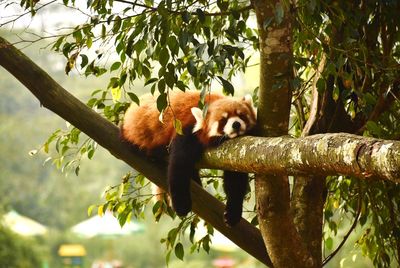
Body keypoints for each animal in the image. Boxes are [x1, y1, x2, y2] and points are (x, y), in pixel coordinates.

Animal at [120, 90, 256, 226]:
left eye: (241, 115)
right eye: (224, 120)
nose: (236, 124)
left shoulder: (233, 154)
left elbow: (235, 179)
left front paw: (232, 213)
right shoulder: (186, 129)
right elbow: (179, 165)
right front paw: (182, 206)